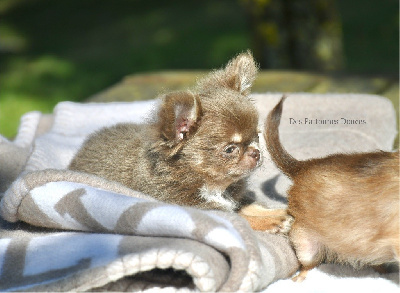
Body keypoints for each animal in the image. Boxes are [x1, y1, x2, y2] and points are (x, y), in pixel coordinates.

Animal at [69, 52, 288, 230]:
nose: (256, 152)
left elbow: (249, 205)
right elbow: (241, 218)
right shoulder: (195, 207)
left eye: (257, 137)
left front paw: (277, 212)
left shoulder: (231, 198)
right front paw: (270, 221)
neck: (213, 186)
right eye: (230, 149)